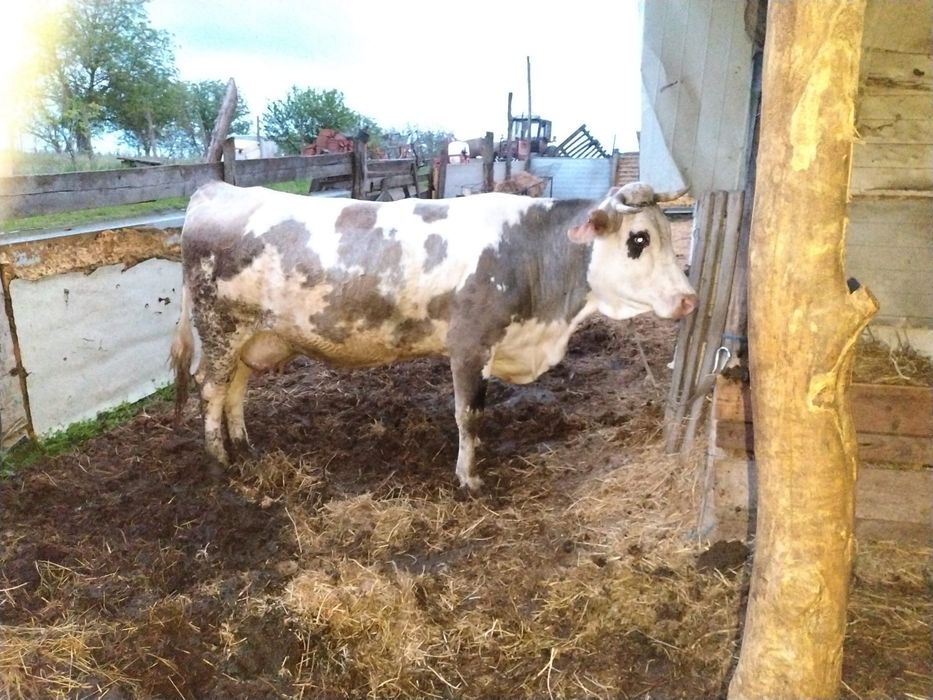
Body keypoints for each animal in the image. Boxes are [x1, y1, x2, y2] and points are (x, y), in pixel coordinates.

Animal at [170, 181, 697, 490]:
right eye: (638, 240)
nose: (689, 299)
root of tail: (213, 189)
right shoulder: (469, 344)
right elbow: (469, 414)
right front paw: (469, 478)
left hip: (251, 336)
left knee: (235, 388)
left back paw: (244, 443)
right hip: (220, 326)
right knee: (210, 388)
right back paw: (220, 456)